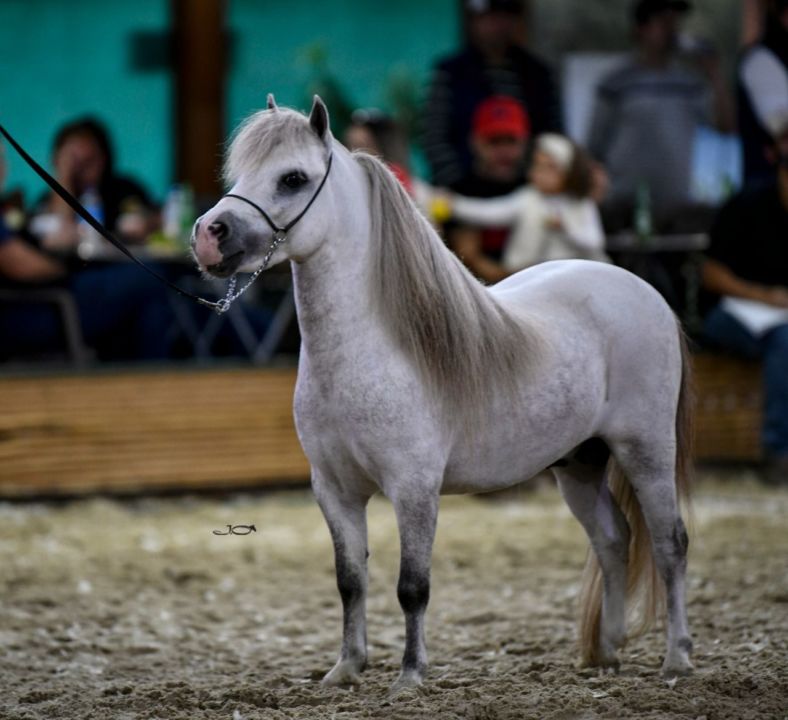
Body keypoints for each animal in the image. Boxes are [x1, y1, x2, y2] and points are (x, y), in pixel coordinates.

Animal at [194, 95, 692, 692]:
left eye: (292, 178)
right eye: (239, 172)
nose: (208, 234)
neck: (367, 354)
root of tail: (645, 292)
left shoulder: (414, 489)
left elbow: (413, 586)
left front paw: (410, 675)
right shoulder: (334, 491)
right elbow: (349, 580)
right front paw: (346, 668)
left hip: (646, 450)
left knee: (669, 544)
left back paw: (677, 659)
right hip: (579, 463)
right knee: (614, 540)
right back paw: (606, 654)